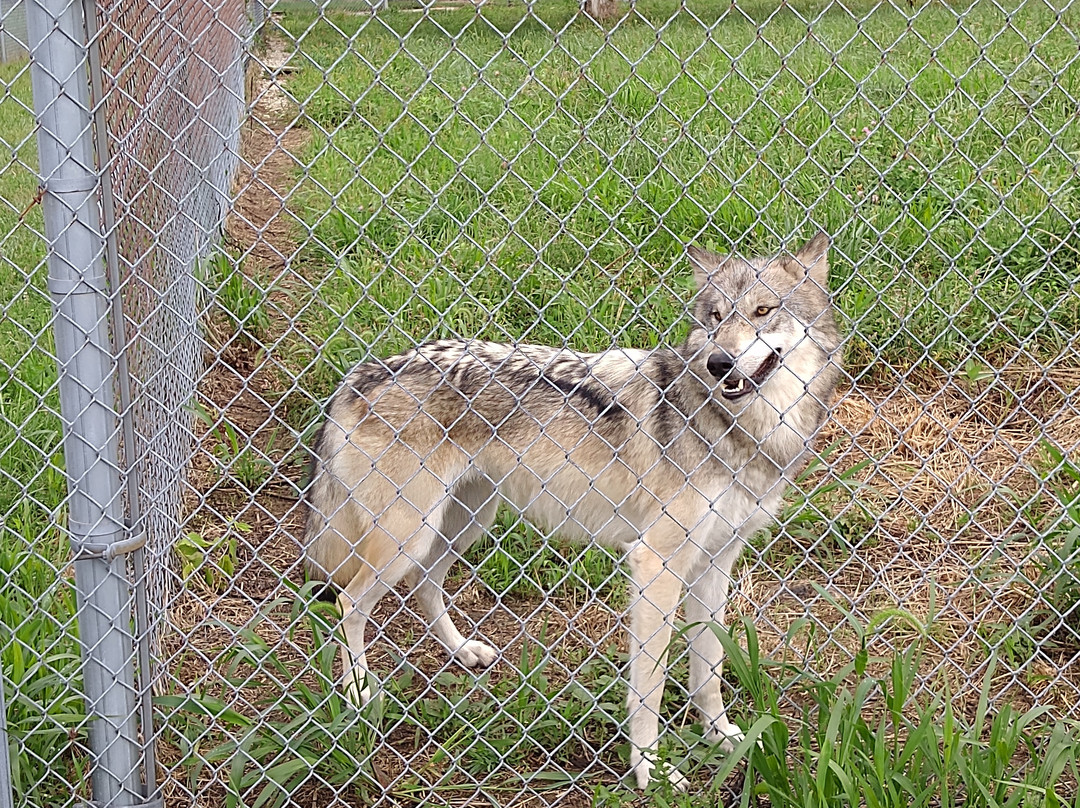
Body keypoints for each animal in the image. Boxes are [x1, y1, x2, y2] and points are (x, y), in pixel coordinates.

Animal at [303, 233, 842, 788]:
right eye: (715, 316)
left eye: (762, 311)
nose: (718, 363)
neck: (739, 429)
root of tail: (362, 373)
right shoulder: (656, 565)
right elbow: (649, 686)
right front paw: (650, 770)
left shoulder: (714, 564)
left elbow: (708, 670)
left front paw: (723, 737)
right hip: (409, 536)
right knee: (348, 603)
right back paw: (359, 692)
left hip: (462, 525)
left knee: (424, 585)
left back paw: (463, 651)